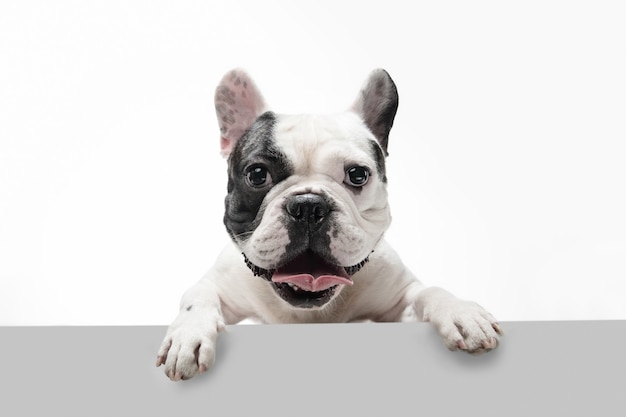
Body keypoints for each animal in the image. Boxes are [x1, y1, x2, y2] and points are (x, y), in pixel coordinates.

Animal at [157, 68, 502, 380]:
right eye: (257, 174)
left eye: (358, 175)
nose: (309, 206)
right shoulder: (219, 286)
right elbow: (198, 299)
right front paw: (187, 337)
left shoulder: (399, 296)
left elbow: (430, 291)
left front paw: (462, 313)